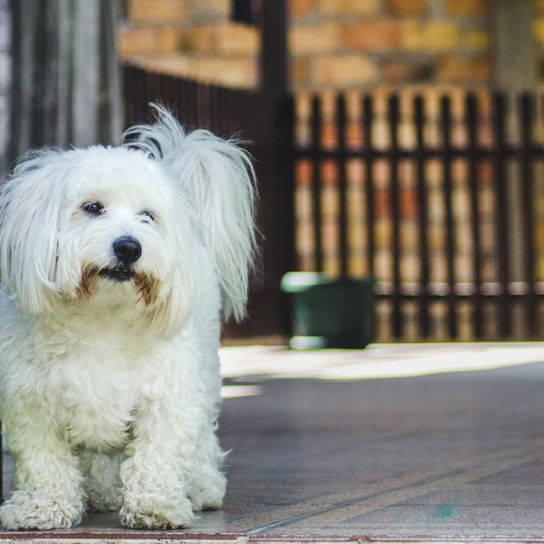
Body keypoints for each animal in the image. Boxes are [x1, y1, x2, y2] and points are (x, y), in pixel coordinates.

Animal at [0, 105, 256, 528]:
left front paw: (155, 505)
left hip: (204, 374)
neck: (103, 316)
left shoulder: (166, 396)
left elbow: (157, 454)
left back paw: (202, 485)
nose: (128, 247)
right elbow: (44, 461)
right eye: (92, 207)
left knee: (203, 437)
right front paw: (43, 506)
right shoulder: (32, 402)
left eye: (147, 216)